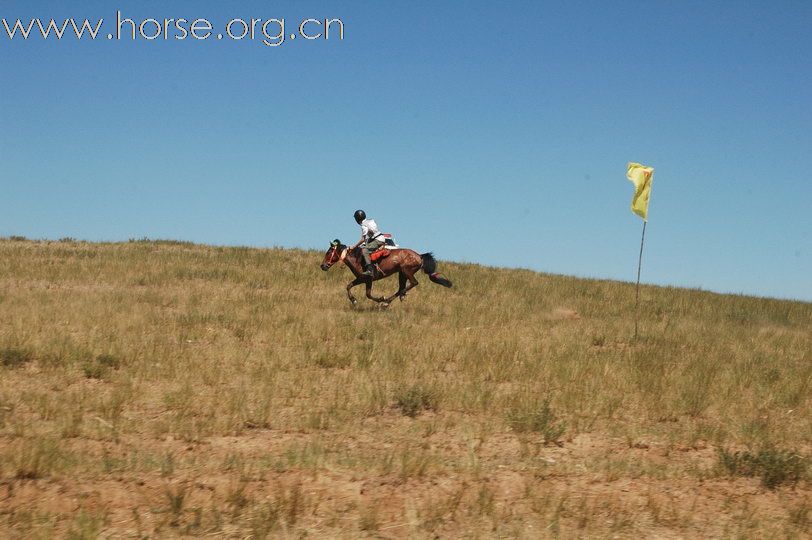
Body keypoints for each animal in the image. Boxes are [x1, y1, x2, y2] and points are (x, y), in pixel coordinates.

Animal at [320, 238, 454, 306]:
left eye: (329, 252)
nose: (323, 266)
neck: (357, 259)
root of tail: (420, 256)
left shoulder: (368, 279)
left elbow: (368, 294)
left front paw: (381, 299)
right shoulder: (361, 279)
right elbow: (349, 286)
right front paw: (353, 300)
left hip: (407, 271)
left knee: (413, 283)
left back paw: (388, 301)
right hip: (401, 274)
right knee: (401, 288)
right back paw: (392, 300)